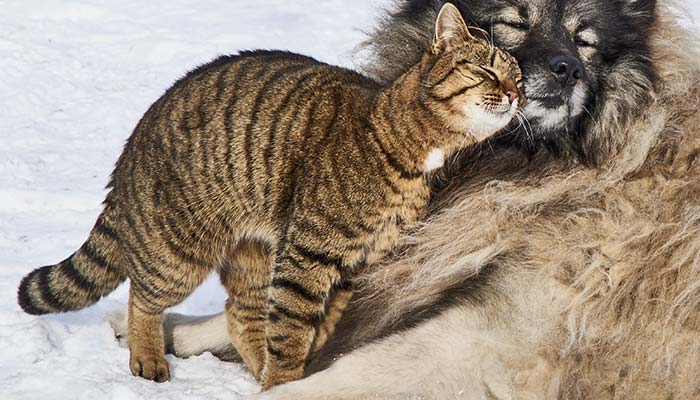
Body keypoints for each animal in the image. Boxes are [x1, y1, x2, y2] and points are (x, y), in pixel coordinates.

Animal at [16, 3, 524, 390]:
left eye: (517, 78)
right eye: (485, 70)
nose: (517, 94)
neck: (410, 147)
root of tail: (131, 146)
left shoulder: (353, 265)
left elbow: (316, 326)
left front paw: (290, 371)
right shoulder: (307, 254)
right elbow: (293, 330)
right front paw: (282, 381)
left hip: (254, 253)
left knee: (239, 313)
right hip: (180, 251)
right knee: (143, 297)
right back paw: (149, 357)